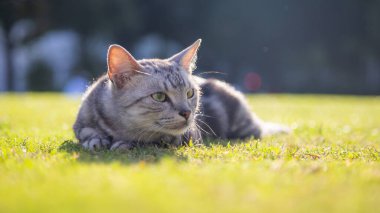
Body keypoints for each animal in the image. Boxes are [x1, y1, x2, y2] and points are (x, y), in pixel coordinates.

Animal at [73, 38, 288, 151]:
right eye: (159, 97)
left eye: (190, 93)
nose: (186, 112)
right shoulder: (82, 120)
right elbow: (86, 131)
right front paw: (97, 139)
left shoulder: (188, 136)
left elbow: (152, 140)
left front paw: (125, 143)